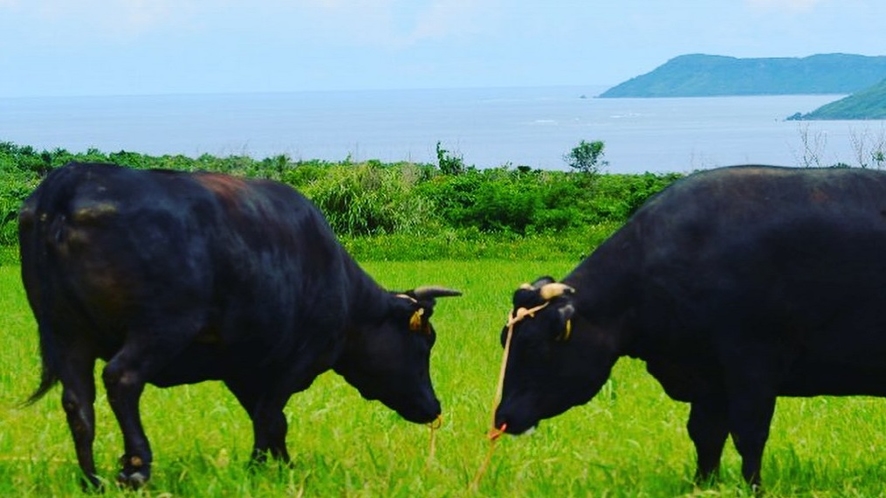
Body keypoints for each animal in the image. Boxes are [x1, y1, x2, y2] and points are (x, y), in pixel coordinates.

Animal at [17, 161, 462, 488]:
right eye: (425, 341)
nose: (433, 407)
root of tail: (70, 179)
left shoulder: (242, 367)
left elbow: (267, 420)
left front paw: (281, 466)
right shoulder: (295, 361)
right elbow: (272, 417)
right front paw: (260, 469)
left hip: (66, 334)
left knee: (79, 403)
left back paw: (92, 480)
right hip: (159, 329)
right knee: (121, 378)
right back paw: (135, 468)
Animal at [492, 165, 886, 488]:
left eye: (536, 346)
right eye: (505, 339)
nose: (503, 416)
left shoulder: (752, 364)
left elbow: (749, 434)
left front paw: (754, 488)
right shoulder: (706, 375)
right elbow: (705, 434)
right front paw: (703, 484)